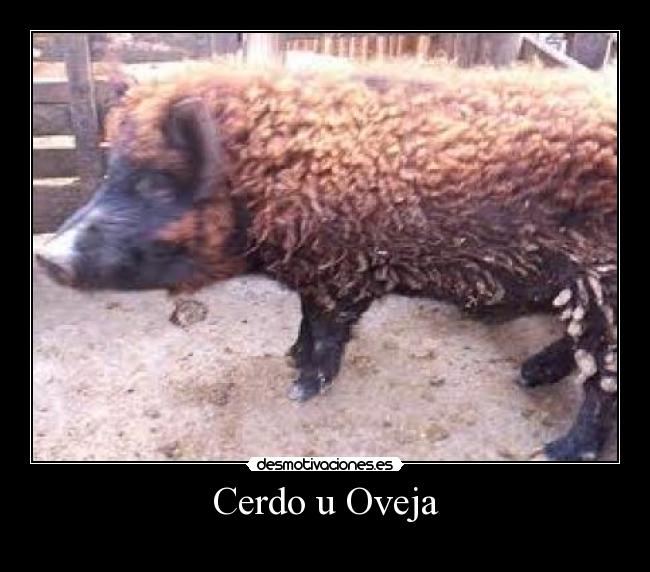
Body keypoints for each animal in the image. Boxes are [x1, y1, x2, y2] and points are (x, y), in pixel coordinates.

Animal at [35, 62, 617, 461]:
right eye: (111, 171)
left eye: (155, 182)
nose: (47, 255)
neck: (270, 181)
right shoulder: (314, 274)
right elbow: (305, 320)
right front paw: (290, 358)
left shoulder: (339, 272)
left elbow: (328, 331)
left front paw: (299, 390)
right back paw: (528, 375)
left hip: (601, 289)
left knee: (601, 386)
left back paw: (554, 450)